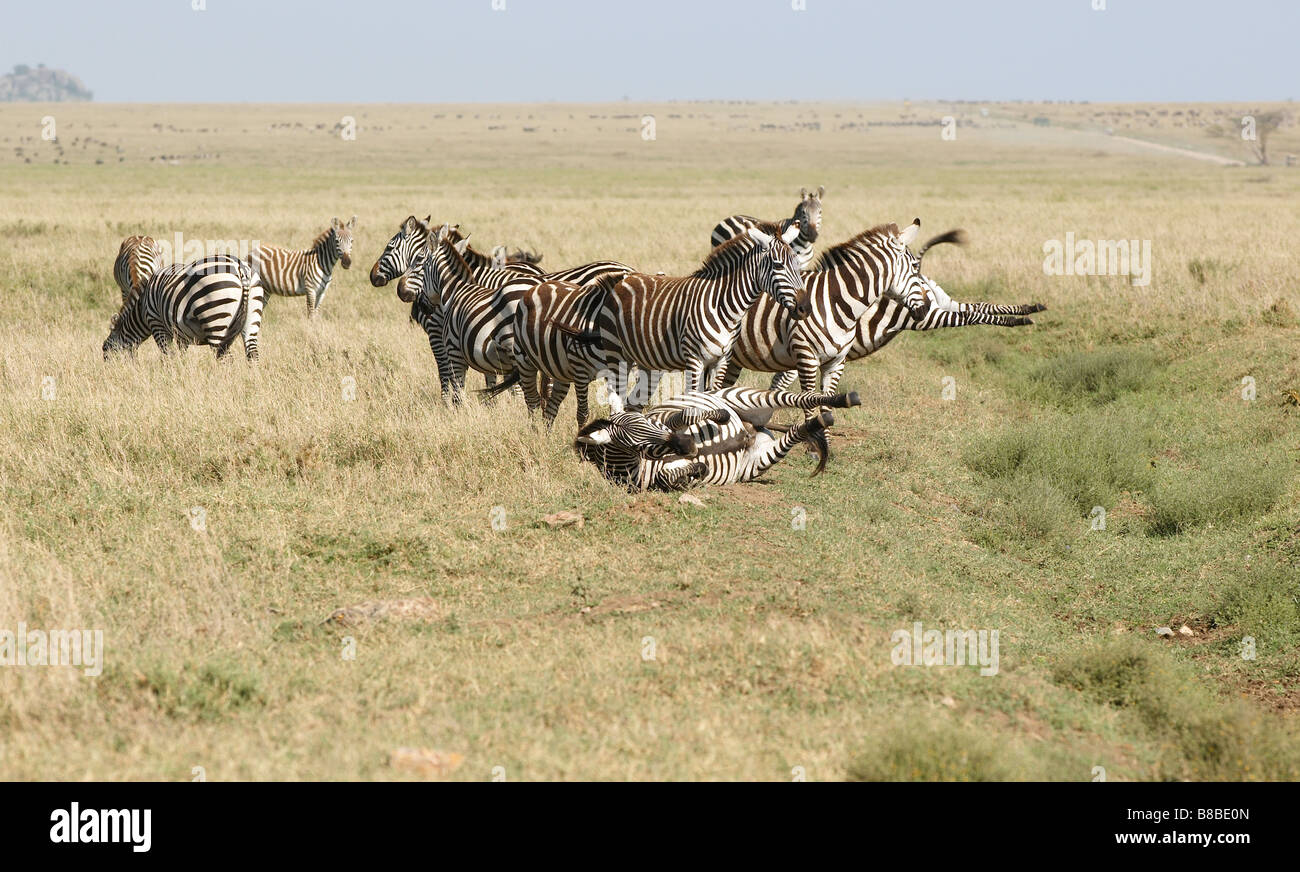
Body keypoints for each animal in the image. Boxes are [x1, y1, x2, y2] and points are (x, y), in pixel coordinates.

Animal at [103, 254, 265, 361]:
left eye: (106, 350)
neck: (142, 309)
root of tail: (240, 267)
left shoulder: (157, 324)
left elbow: (168, 356)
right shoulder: (182, 334)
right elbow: (181, 356)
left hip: (215, 318)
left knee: (224, 357)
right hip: (252, 315)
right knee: (252, 354)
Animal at [575, 386, 860, 492]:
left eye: (648, 422)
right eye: (638, 446)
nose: (689, 446)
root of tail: (754, 427)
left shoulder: (666, 419)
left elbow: (685, 415)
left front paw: (720, 416)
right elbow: (668, 477)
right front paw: (698, 469)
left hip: (747, 397)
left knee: (796, 398)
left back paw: (844, 399)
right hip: (758, 461)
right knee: (795, 431)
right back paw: (822, 421)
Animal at [595, 224, 809, 410]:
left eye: (798, 265)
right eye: (778, 266)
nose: (804, 308)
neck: (725, 307)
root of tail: (623, 279)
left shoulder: (721, 360)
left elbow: (714, 398)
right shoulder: (694, 359)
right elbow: (694, 400)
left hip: (645, 360)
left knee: (633, 401)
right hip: (615, 352)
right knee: (616, 400)